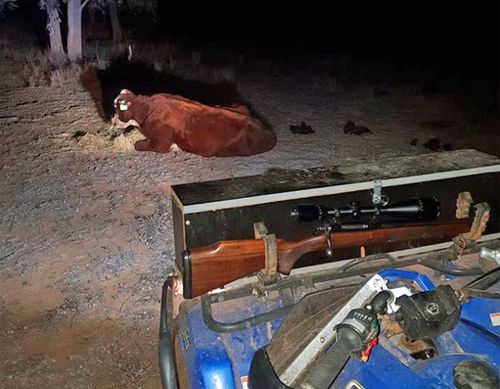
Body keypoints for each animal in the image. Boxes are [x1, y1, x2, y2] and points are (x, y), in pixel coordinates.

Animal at [109, 90, 278, 157]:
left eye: (117, 110)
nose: (111, 122)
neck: (146, 109)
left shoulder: (160, 142)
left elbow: (137, 145)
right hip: (238, 105)